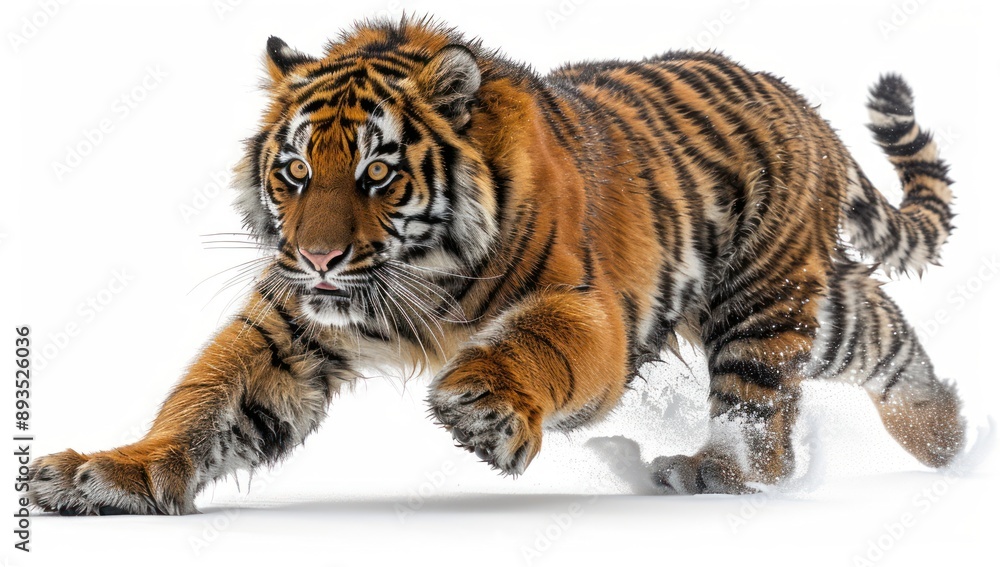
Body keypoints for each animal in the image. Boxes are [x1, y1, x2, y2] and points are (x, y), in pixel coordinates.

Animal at [29, 17, 964, 515]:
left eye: (376, 172)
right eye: (294, 170)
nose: (320, 255)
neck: (412, 280)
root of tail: (804, 106)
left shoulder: (590, 307)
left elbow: (533, 345)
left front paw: (484, 407)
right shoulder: (290, 323)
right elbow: (208, 396)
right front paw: (109, 473)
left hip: (758, 305)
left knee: (761, 418)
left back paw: (709, 471)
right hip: (795, 299)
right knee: (881, 330)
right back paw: (946, 433)